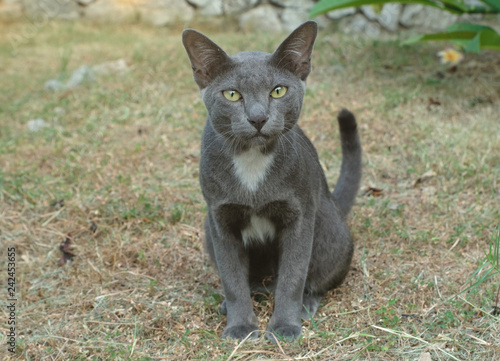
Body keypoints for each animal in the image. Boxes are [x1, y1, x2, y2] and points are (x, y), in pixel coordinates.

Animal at [182, 21, 362, 342]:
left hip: (330, 228)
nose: (258, 118)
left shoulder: (299, 214)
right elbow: (232, 279)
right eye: (232, 95)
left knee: (314, 279)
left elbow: (293, 276)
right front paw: (241, 327)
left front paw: (284, 327)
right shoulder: (220, 219)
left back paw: (304, 304)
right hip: (206, 230)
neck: (252, 160)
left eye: (278, 91)